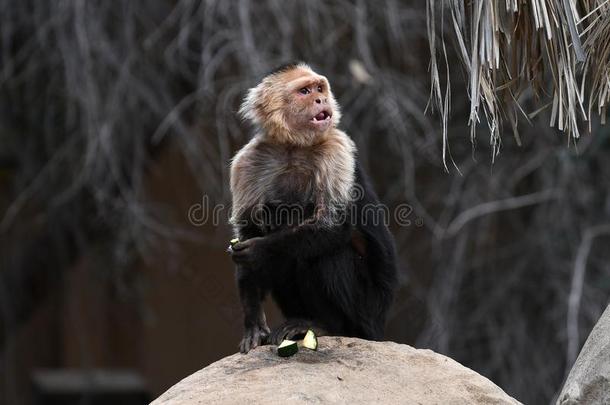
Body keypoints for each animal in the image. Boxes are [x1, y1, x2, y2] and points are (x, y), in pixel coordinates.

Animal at [230, 61, 396, 352]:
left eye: (319, 89)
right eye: (305, 91)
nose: (321, 100)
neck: (294, 146)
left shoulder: (336, 146)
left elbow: (333, 225)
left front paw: (258, 250)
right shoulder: (247, 161)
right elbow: (247, 229)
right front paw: (253, 325)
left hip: (369, 312)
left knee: (324, 254)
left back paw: (324, 326)